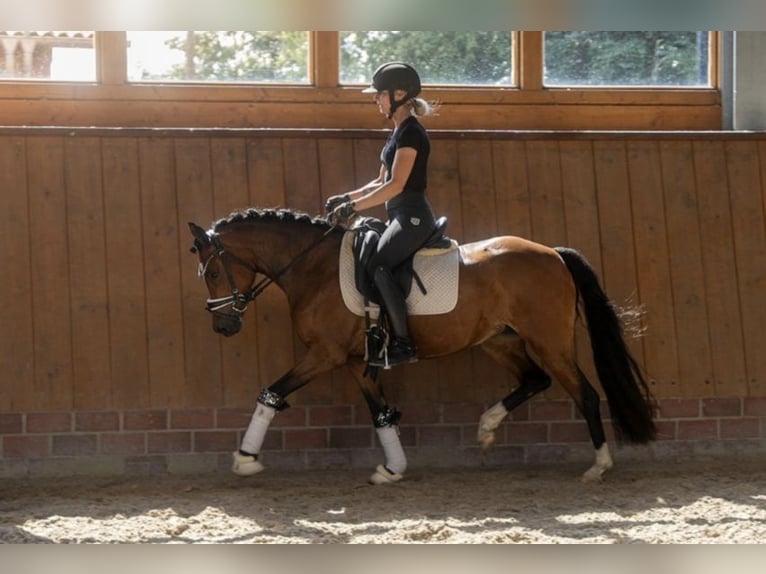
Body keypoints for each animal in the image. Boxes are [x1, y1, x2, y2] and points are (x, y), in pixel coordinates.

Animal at [189, 207, 656, 486]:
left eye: (211, 273)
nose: (222, 325)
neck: (314, 268)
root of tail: (554, 254)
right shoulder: (356, 360)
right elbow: (381, 413)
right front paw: (392, 468)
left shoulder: (325, 354)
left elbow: (272, 391)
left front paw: (245, 458)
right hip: (498, 340)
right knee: (534, 380)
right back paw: (487, 426)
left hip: (549, 341)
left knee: (586, 394)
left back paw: (598, 466)